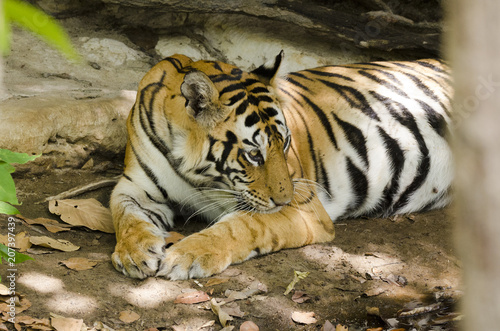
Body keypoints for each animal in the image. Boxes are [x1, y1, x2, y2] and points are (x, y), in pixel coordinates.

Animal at [109, 51, 454, 280]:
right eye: (253, 154)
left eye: (285, 143)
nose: (285, 198)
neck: (198, 174)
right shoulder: (134, 186)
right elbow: (125, 214)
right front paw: (135, 252)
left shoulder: (305, 206)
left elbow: (242, 225)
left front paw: (188, 255)